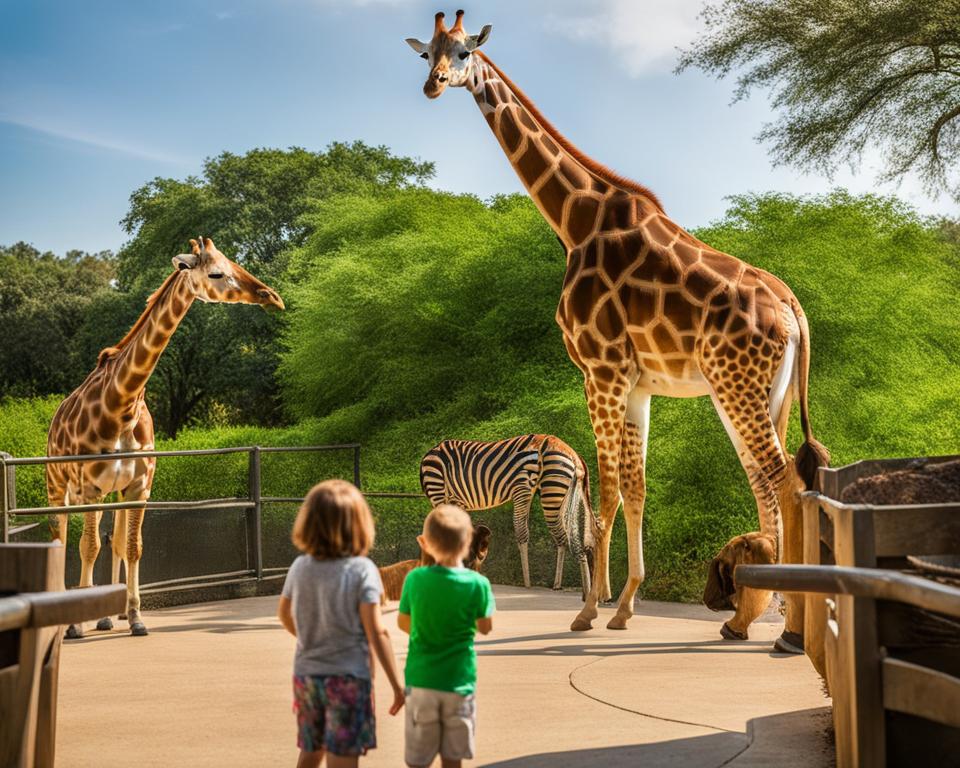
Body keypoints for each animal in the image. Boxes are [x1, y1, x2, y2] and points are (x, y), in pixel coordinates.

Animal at [47, 240, 284, 636]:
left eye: (234, 262)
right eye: (216, 273)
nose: (272, 296)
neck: (123, 404)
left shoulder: (139, 487)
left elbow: (131, 546)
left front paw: (135, 616)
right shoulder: (89, 489)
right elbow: (87, 546)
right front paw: (75, 625)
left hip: (112, 493)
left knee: (112, 541)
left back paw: (107, 617)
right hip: (58, 484)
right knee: (61, 537)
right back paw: (71, 617)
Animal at [418, 432, 592, 592]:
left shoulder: (524, 488)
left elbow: (521, 531)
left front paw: (526, 582)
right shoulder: (523, 488)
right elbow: (522, 531)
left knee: (563, 535)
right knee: (564, 535)